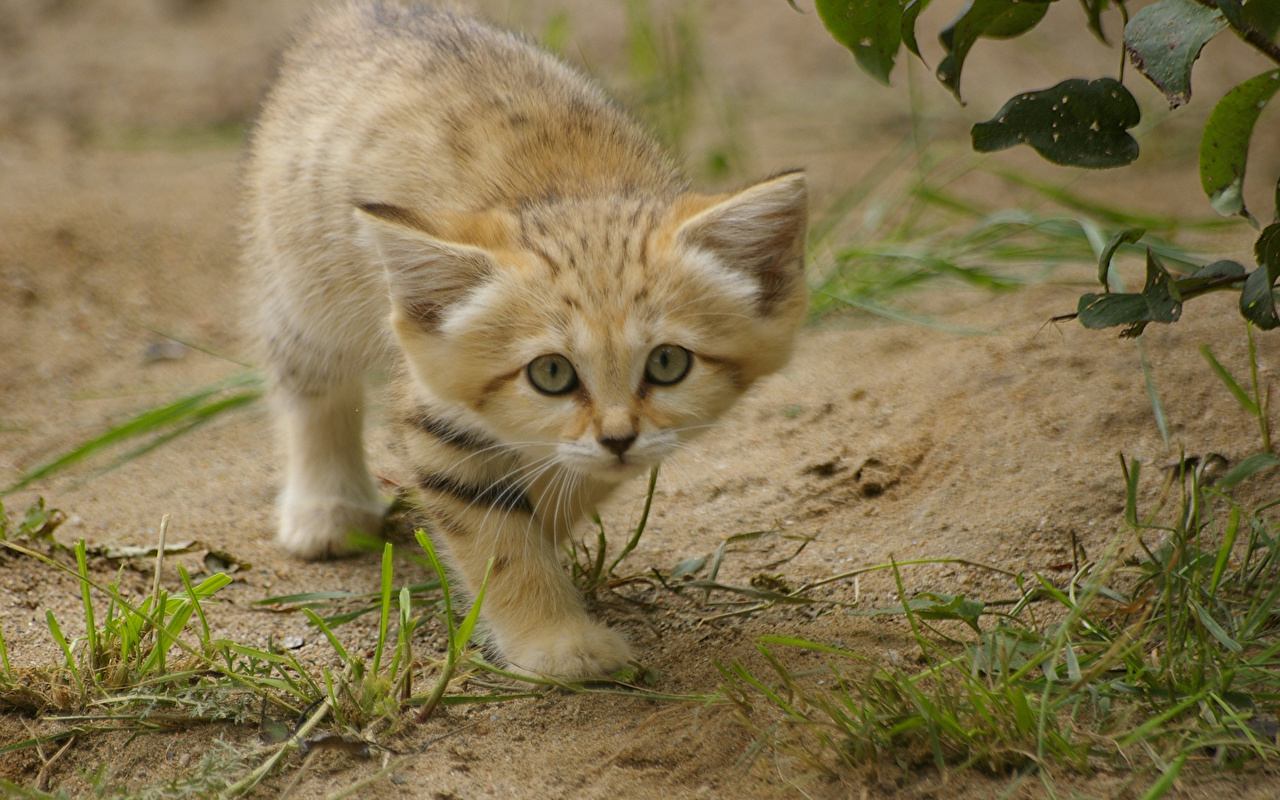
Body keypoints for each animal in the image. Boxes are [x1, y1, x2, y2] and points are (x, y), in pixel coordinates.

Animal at [240, 0, 803, 675]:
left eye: (668, 363)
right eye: (551, 373)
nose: (618, 437)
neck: (576, 192)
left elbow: (563, 485)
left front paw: (551, 520)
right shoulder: (439, 417)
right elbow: (500, 541)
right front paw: (557, 642)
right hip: (305, 280)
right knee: (309, 383)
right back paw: (326, 508)